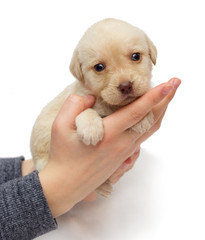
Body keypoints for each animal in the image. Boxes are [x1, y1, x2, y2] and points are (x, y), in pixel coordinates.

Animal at [30, 17, 157, 196]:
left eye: (136, 56)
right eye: (99, 67)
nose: (125, 86)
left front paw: (142, 118)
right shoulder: (78, 98)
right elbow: (87, 110)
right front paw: (91, 129)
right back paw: (102, 187)